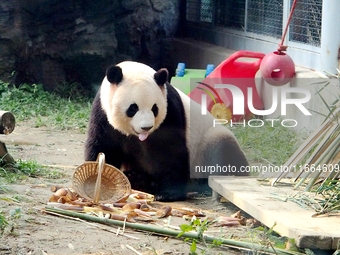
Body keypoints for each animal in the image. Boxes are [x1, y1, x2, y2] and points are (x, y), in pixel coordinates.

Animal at [84, 61, 250, 201]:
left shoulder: (170, 110)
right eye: (133, 108)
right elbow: (105, 147)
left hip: (208, 143)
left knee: (221, 151)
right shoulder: (102, 112)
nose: (146, 127)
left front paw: (168, 193)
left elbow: (169, 152)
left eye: (154, 108)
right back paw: (137, 178)